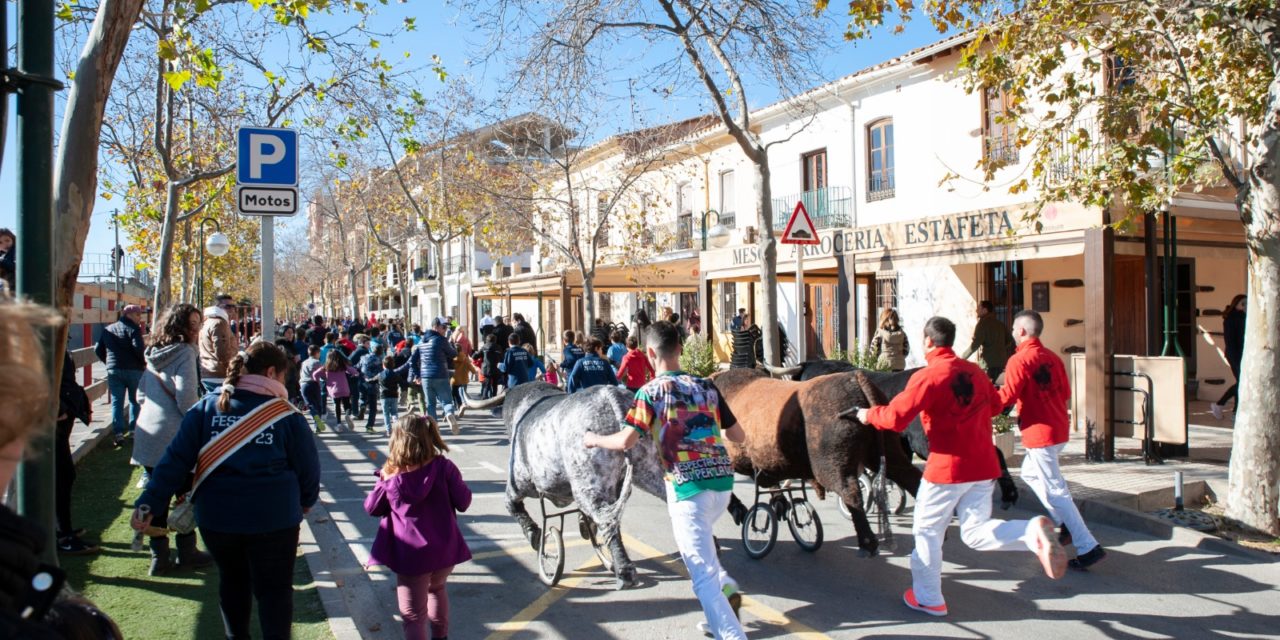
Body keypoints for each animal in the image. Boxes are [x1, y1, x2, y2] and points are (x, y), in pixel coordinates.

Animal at [460, 378, 665, 588]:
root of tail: (609, 395)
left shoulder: (520, 483)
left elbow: (512, 505)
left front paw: (535, 536)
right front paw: (584, 525)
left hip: (587, 483)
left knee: (606, 518)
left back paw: (624, 572)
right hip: (650, 468)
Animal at [711, 368, 921, 558]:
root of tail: (855, 378)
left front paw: (740, 509)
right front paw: (778, 502)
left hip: (833, 466)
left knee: (851, 492)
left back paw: (867, 542)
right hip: (888, 454)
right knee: (912, 479)